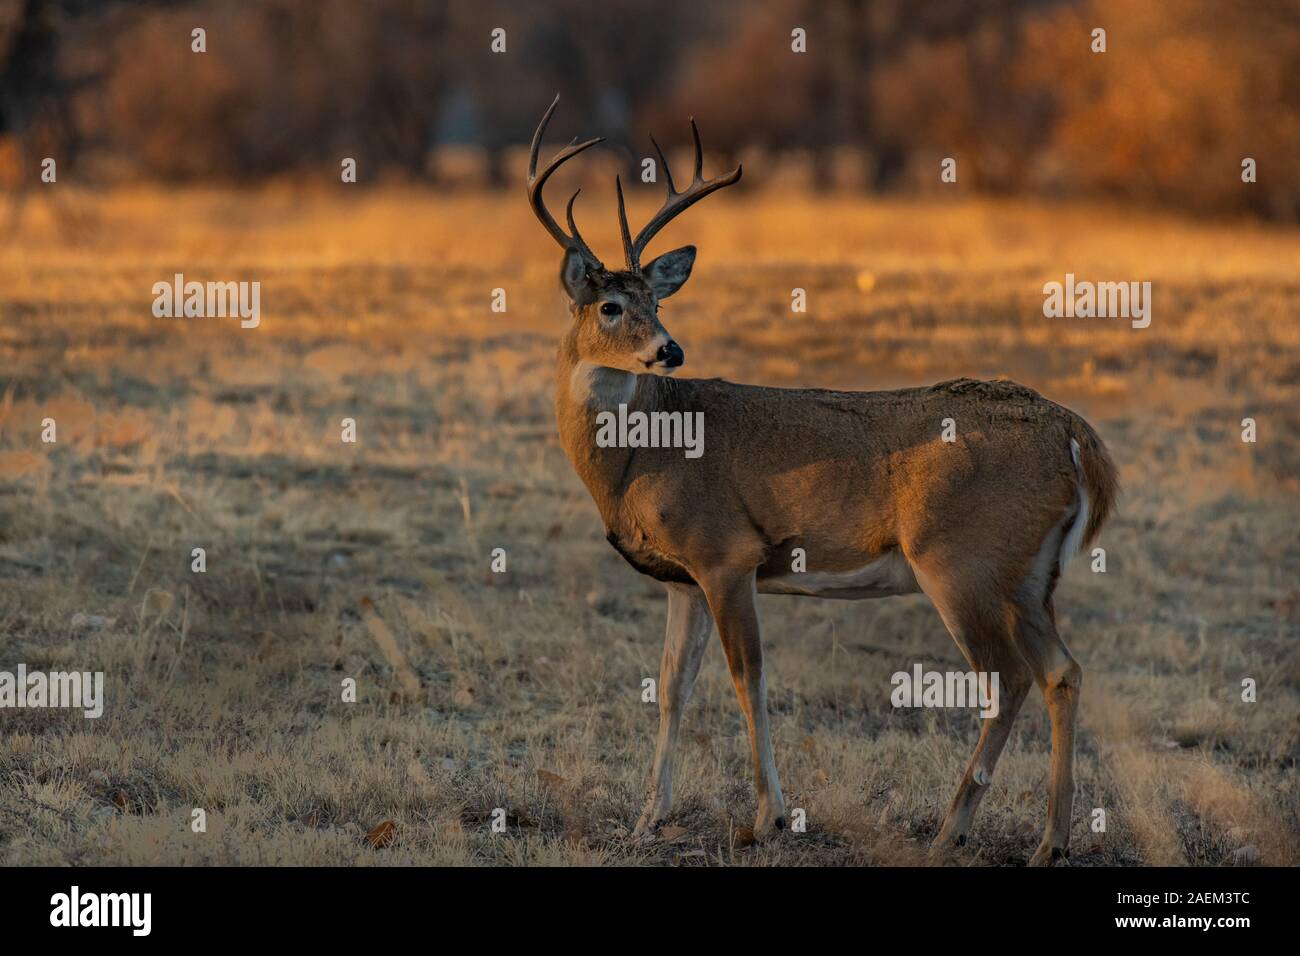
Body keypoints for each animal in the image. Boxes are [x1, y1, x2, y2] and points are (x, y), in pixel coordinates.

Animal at [527, 97, 1118, 868]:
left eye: (653, 302)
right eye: (611, 307)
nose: (670, 349)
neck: (641, 454)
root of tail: (1074, 433)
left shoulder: (727, 554)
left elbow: (748, 679)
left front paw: (766, 819)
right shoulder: (682, 578)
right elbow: (672, 687)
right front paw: (645, 819)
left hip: (959, 560)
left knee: (1008, 678)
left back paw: (949, 832)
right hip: (1027, 577)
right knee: (1062, 671)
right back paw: (1050, 841)